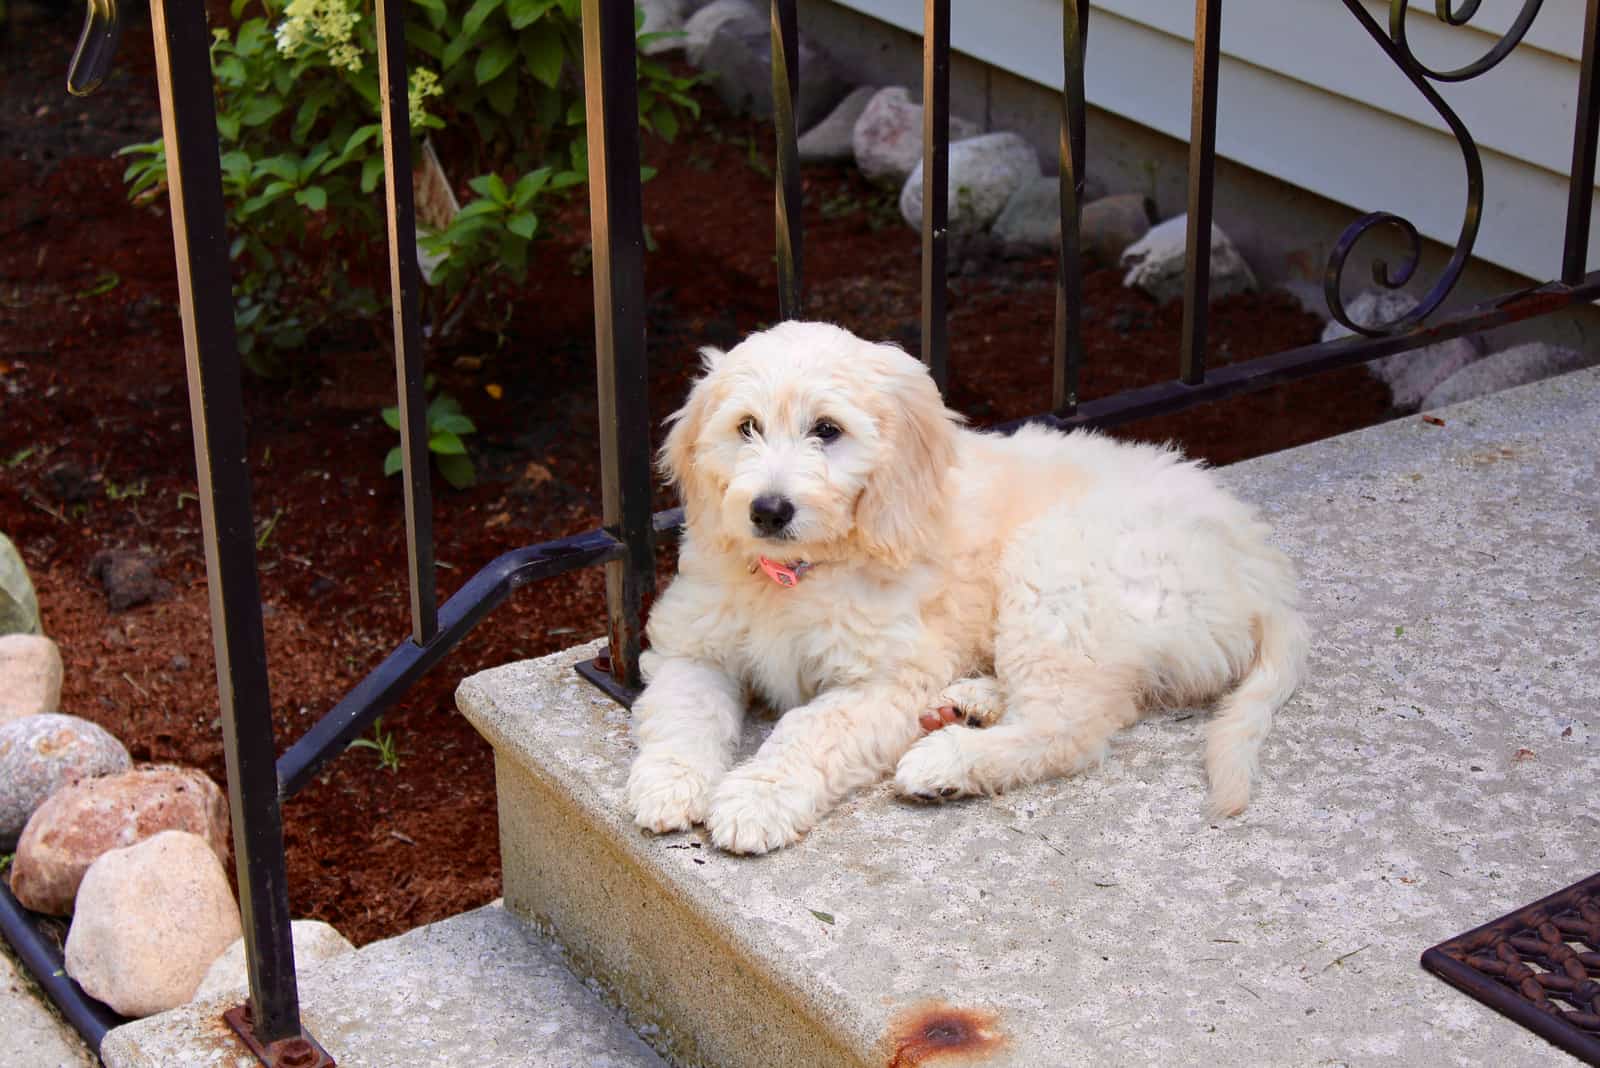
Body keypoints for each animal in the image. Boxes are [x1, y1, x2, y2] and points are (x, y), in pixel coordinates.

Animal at [624, 316, 1299, 850]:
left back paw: (947, 762)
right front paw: (668, 782)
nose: (767, 510)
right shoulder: (693, 647)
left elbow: (809, 730)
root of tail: (1258, 564)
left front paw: (756, 799)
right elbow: (684, 710)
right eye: (746, 427)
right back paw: (969, 702)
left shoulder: (889, 676)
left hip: (1057, 572)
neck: (800, 574)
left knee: (1073, 725)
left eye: (827, 430)